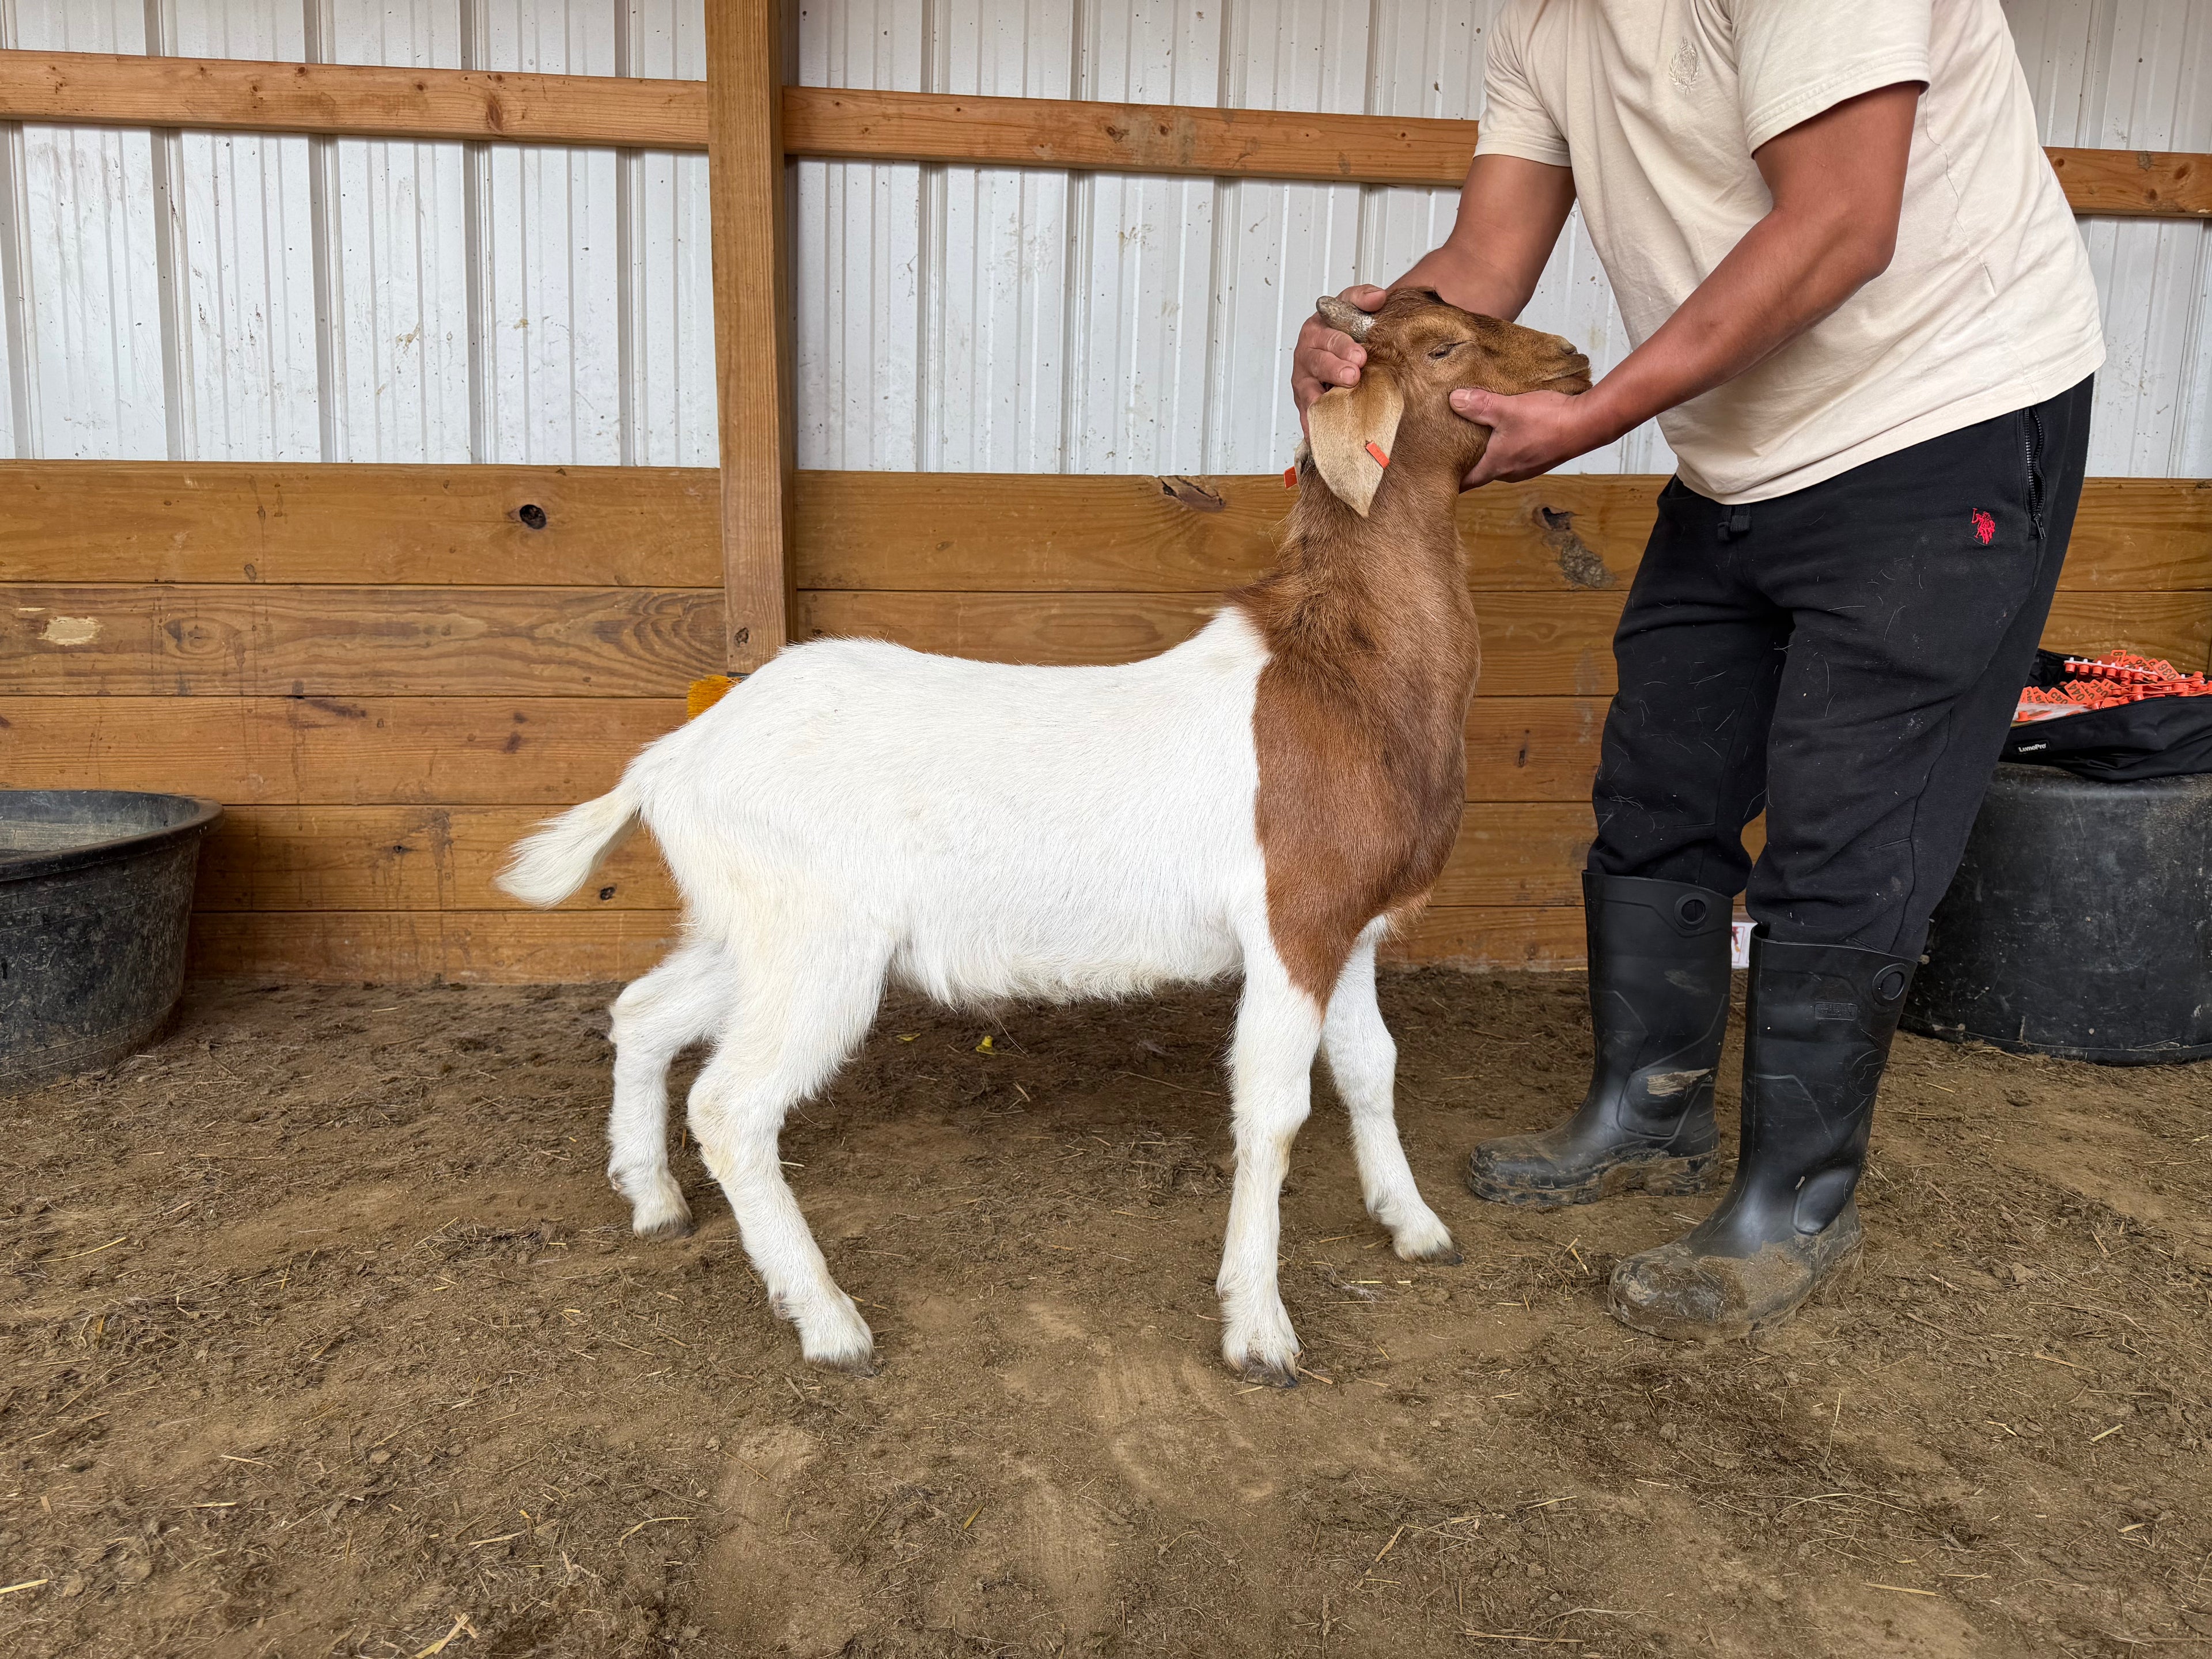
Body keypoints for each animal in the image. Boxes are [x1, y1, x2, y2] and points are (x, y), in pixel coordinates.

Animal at [499, 289, 1592, 1383]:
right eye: (1444, 346)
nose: (1575, 361)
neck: (1337, 673)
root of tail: (672, 761)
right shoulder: (1291, 922)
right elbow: (1274, 1110)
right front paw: (1259, 1328)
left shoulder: (1348, 929)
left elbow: (1371, 1068)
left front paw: (1415, 1225)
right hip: (816, 942)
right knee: (731, 1106)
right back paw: (829, 1321)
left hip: (752, 930)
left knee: (644, 1012)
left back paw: (653, 1201)